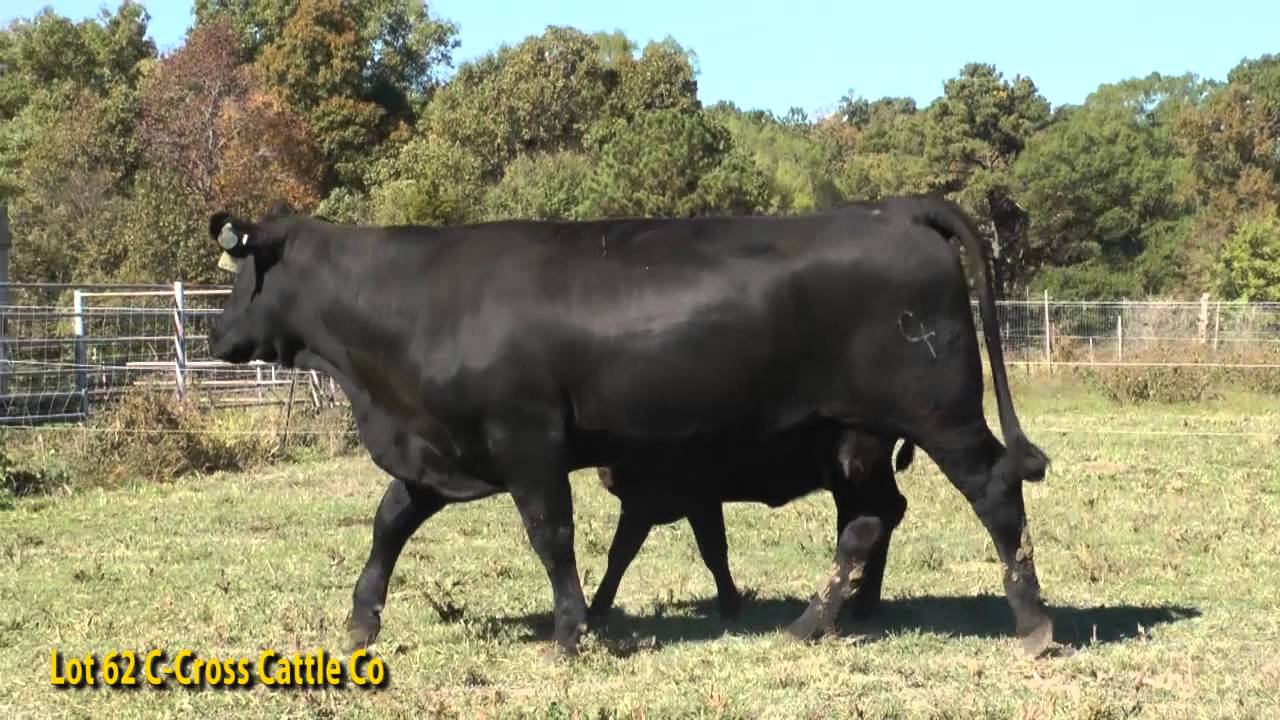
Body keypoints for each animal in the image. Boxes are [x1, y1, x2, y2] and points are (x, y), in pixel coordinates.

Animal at [588, 424, 914, 625]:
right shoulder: (644, 503)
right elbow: (620, 554)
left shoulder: (691, 498)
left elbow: (712, 551)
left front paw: (731, 606)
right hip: (848, 481)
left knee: (883, 513)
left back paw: (864, 603)